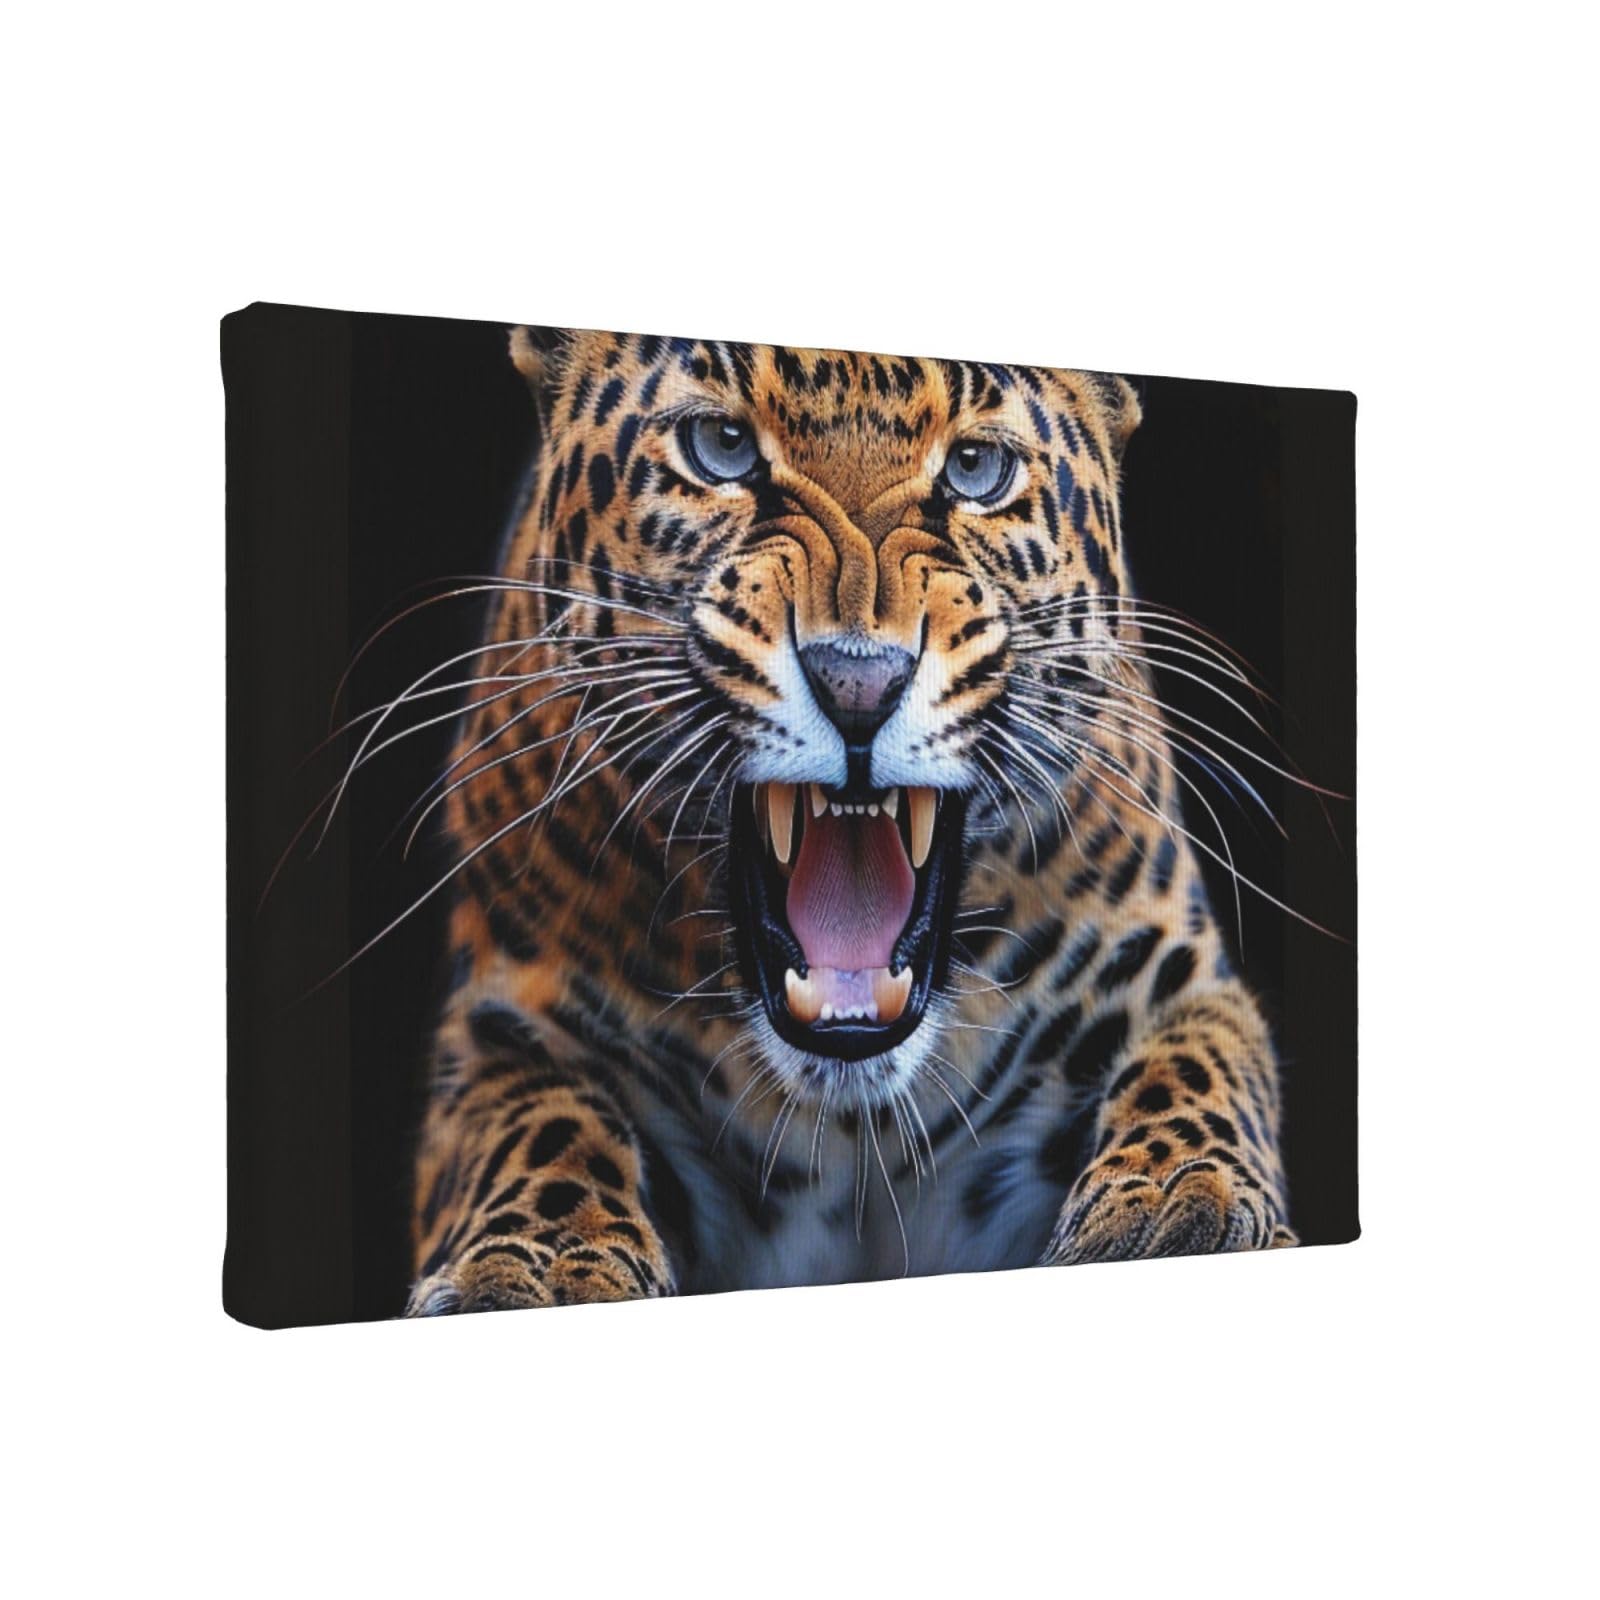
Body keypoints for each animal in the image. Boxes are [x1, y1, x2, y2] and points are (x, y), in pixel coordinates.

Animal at [404, 327, 1297, 1315]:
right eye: (720, 447)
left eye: (977, 469)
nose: (858, 682)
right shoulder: (508, 1020)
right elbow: (541, 1123)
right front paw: (543, 1266)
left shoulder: (1158, 967)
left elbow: (1196, 1065)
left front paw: (1177, 1199)